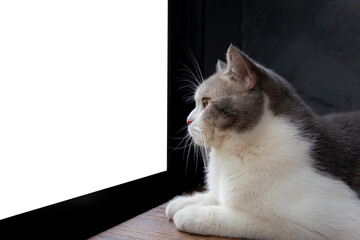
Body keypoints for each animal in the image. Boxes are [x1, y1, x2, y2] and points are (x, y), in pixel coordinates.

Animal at [165, 44, 360, 239]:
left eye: (205, 102)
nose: (187, 120)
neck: (226, 158)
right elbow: (214, 195)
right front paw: (181, 202)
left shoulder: (315, 225)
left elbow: (238, 217)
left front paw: (191, 213)